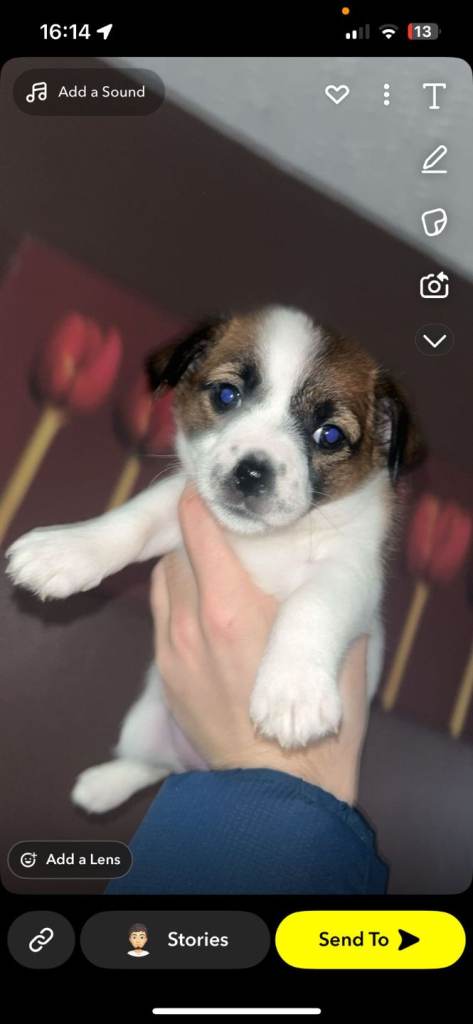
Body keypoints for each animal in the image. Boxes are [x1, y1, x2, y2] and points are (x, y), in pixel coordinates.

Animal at [6, 306, 422, 813]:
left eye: (329, 435)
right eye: (227, 395)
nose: (252, 472)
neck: (265, 542)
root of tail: (207, 763)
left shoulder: (350, 573)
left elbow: (312, 606)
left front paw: (293, 690)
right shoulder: (177, 510)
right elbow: (133, 520)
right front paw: (67, 549)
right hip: (144, 724)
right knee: (155, 765)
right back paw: (102, 786)